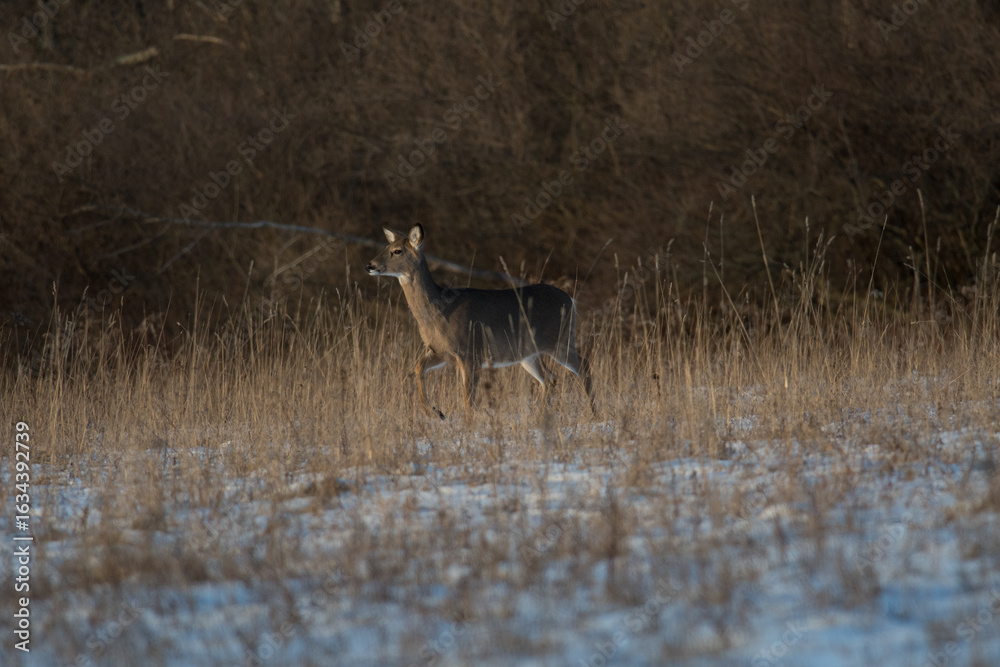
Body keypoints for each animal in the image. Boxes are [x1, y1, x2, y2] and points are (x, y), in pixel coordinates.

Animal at [366, 224, 596, 420]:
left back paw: (594, 414)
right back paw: (540, 419)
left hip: (559, 340)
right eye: (386, 246)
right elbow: (418, 367)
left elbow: (468, 398)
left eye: (397, 251)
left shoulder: (470, 353)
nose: (370, 265)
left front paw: (467, 429)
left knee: (583, 367)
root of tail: (571, 300)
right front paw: (434, 412)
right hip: (529, 354)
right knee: (549, 378)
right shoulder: (441, 351)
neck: (439, 311)